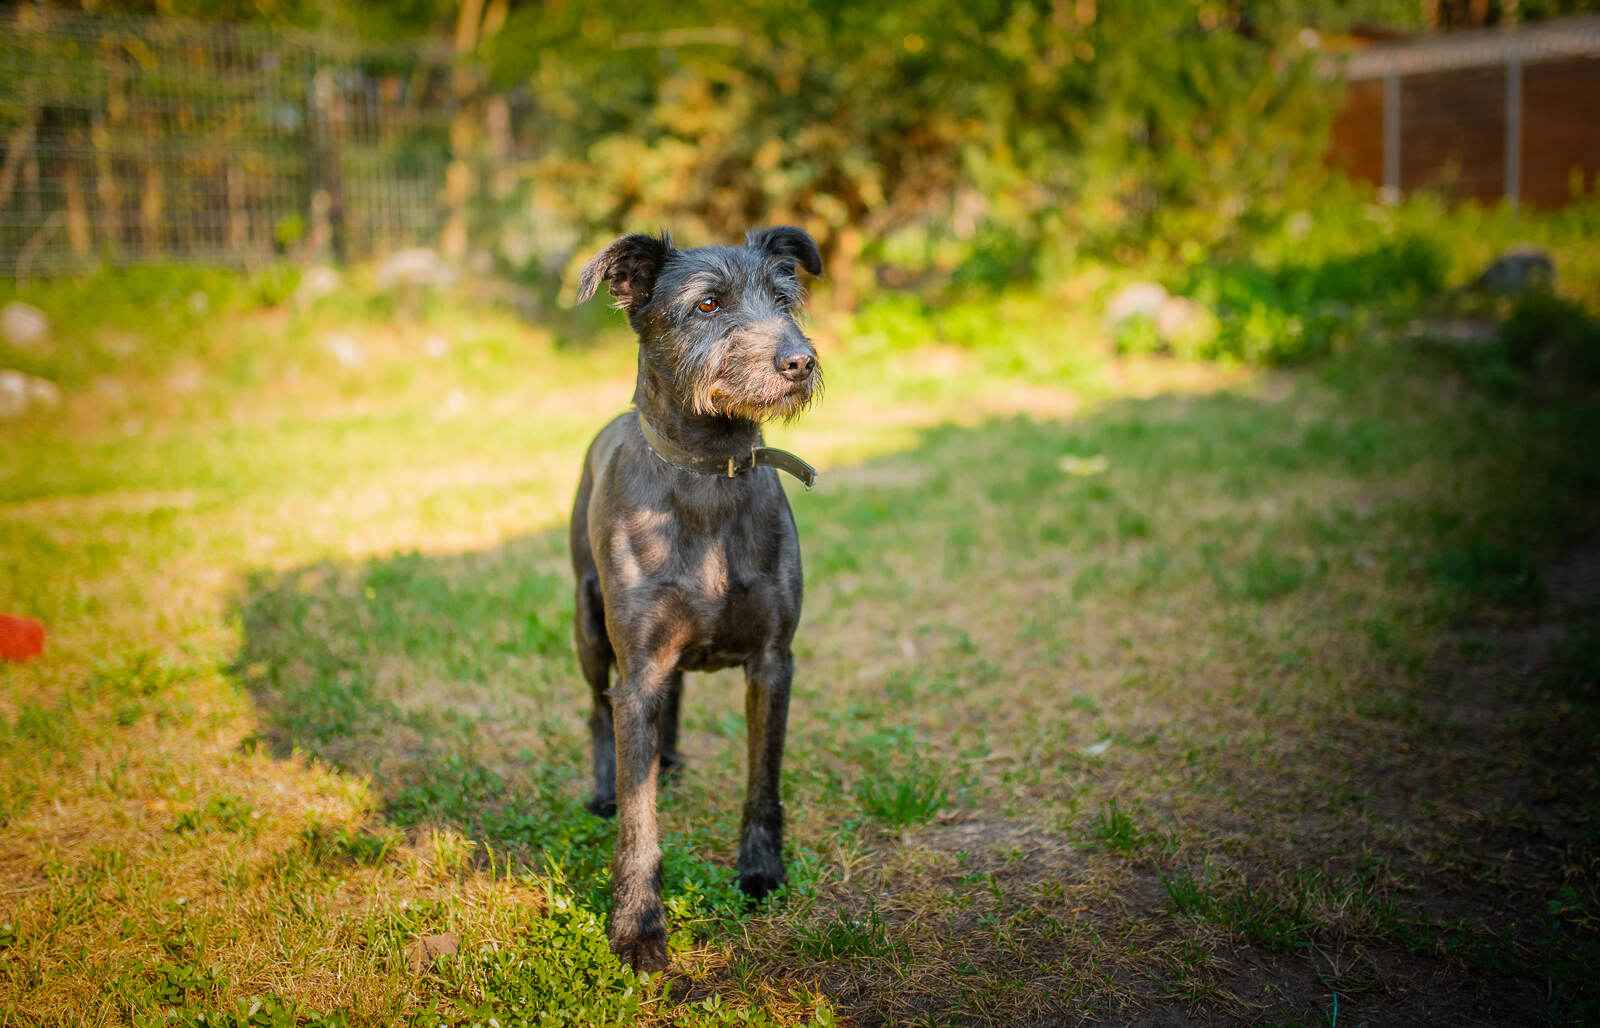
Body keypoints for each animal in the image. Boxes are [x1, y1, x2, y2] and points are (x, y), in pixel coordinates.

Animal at [569, 225, 825, 967]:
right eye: (708, 304)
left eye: (784, 297)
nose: (800, 362)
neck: (711, 471)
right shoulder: (638, 672)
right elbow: (638, 821)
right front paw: (637, 928)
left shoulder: (773, 662)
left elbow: (763, 783)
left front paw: (761, 872)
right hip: (588, 628)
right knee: (596, 712)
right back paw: (605, 786)